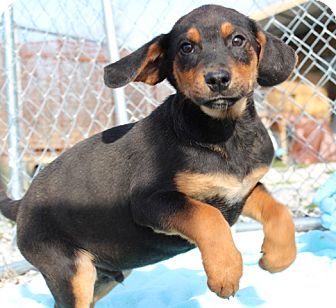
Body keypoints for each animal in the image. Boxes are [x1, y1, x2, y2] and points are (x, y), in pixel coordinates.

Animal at [1, 5, 298, 308]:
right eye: (186, 47)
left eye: (238, 40)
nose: (216, 79)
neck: (224, 132)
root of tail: (22, 205)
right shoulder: (150, 201)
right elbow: (207, 216)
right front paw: (225, 272)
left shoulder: (242, 189)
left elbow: (279, 209)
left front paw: (278, 258)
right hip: (71, 271)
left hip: (101, 277)